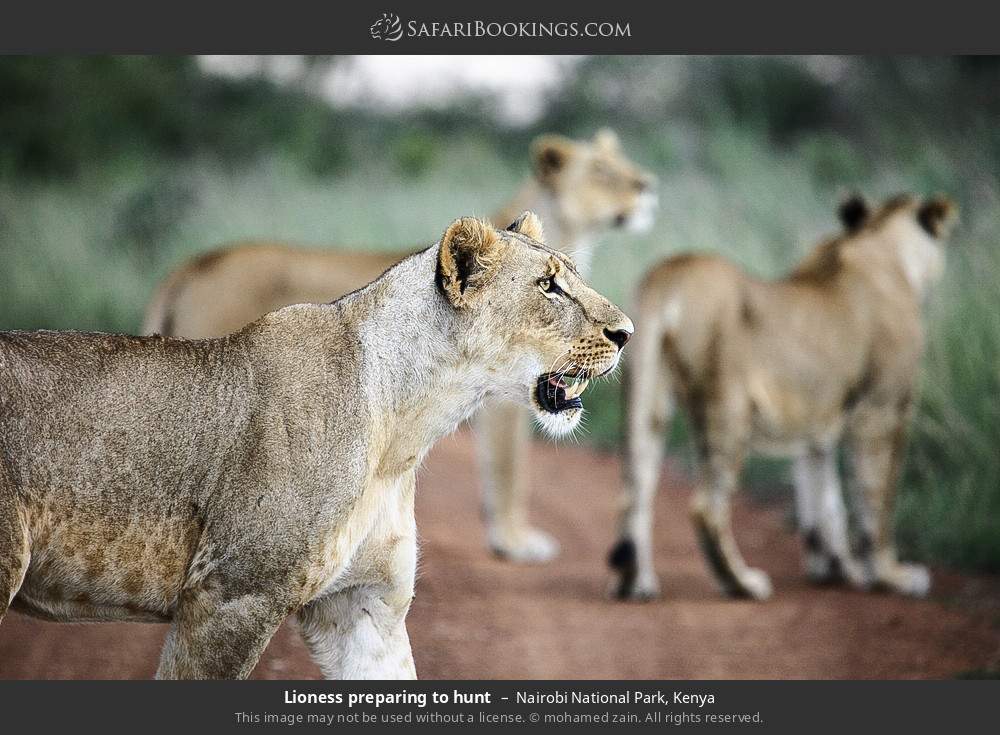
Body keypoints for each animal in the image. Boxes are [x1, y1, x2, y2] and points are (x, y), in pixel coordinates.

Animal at [0, 212, 632, 679]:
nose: (626, 333)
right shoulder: (231, 595)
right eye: (548, 286)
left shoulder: (364, 608)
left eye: (572, 275)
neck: (404, 428)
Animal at [143, 129, 656, 563]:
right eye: (602, 172)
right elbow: (511, 470)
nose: (647, 185)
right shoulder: (505, 405)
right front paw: (514, 542)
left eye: (621, 163)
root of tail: (193, 264)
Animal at [608, 193, 956, 602]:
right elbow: (878, 497)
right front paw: (893, 576)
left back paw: (636, 583)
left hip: (647, 397)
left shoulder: (819, 419)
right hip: (728, 407)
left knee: (635, 489)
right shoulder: (883, 409)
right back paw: (742, 583)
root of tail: (671, 273)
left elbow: (825, 499)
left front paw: (836, 568)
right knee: (706, 507)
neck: (878, 242)